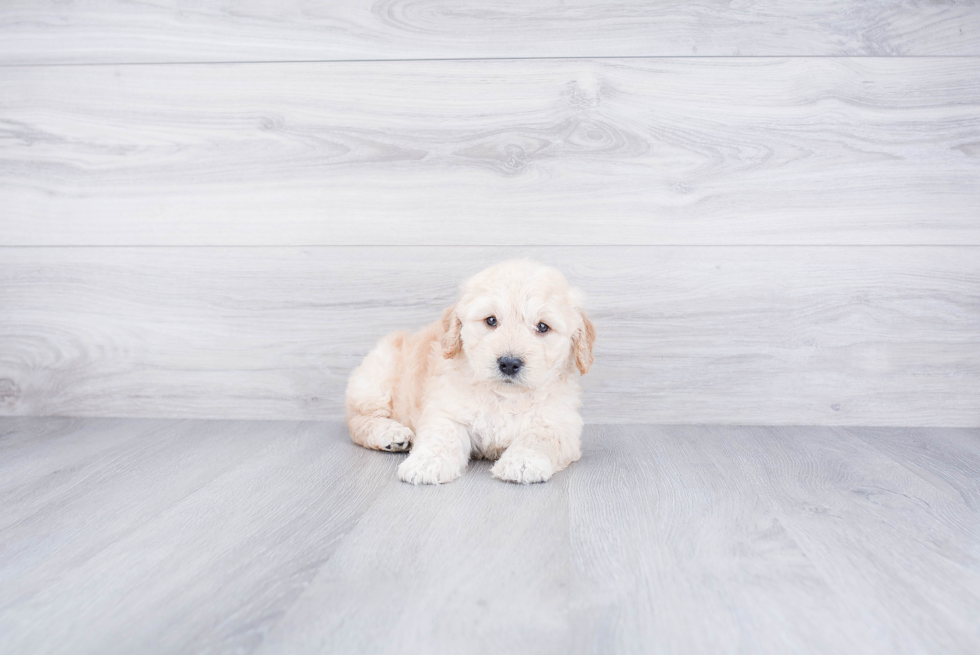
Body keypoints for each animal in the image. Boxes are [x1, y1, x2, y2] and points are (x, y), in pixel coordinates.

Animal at [346, 258, 596, 484]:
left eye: (543, 327)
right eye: (491, 321)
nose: (509, 363)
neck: (505, 397)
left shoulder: (560, 422)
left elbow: (539, 438)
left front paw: (522, 462)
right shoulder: (446, 409)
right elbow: (442, 435)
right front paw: (427, 462)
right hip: (377, 375)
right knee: (357, 420)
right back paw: (392, 434)